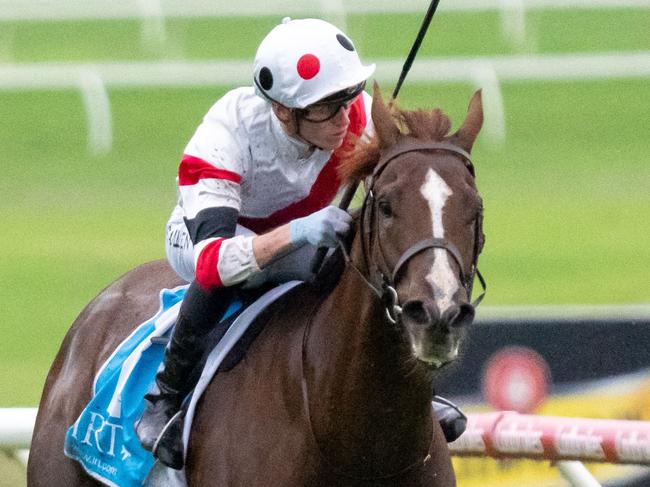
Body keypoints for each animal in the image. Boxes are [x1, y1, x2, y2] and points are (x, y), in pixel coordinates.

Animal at [29, 85, 486, 487]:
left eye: (476, 208)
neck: (358, 441)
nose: (438, 314)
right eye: (387, 206)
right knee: (212, 266)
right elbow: (215, 255)